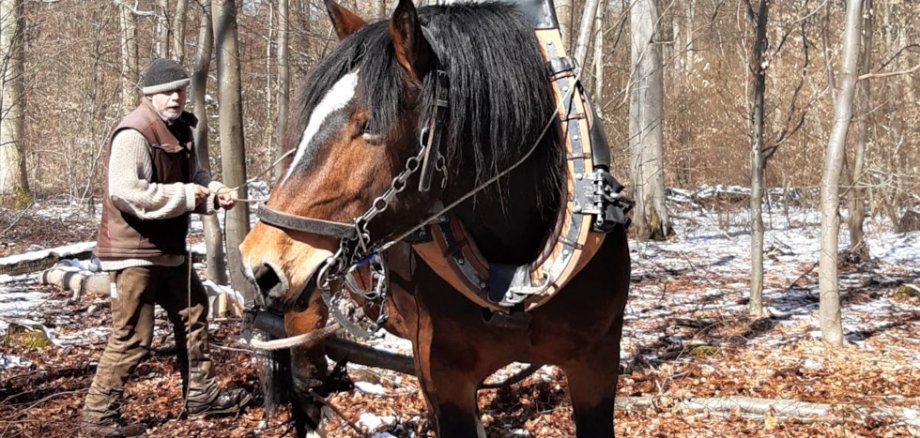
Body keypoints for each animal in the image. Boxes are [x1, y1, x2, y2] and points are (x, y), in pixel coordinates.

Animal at [239, 0, 632, 434]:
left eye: (369, 124)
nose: (260, 263)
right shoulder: (444, 376)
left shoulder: (596, 365)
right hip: (304, 317)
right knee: (307, 386)